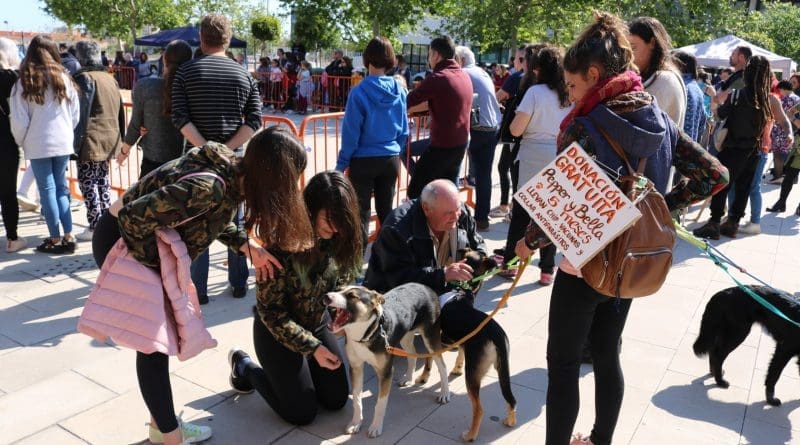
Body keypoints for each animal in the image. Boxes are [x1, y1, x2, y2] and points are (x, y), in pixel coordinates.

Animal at [325, 283, 450, 438]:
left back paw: (444, 394)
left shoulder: (386, 372)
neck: (366, 334)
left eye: (352, 296)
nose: (326, 297)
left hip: (430, 336)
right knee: (413, 355)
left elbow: (380, 404)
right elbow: (357, 400)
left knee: (442, 365)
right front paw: (355, 423)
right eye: (338, 289)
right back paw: (407, 378)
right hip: (405, 336)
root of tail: (426, 286)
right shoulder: (355, 367)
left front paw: (376, 427)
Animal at [429, 248, 517, 442]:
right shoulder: (462, 340)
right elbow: (460, 353)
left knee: (479, 409)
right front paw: (456, 368)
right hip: (502, 367)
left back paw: (470, 435)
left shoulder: (438, 336)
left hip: (473, 373)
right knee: (511, 399)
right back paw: (510, 421)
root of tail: (497, 334)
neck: (460, 287)